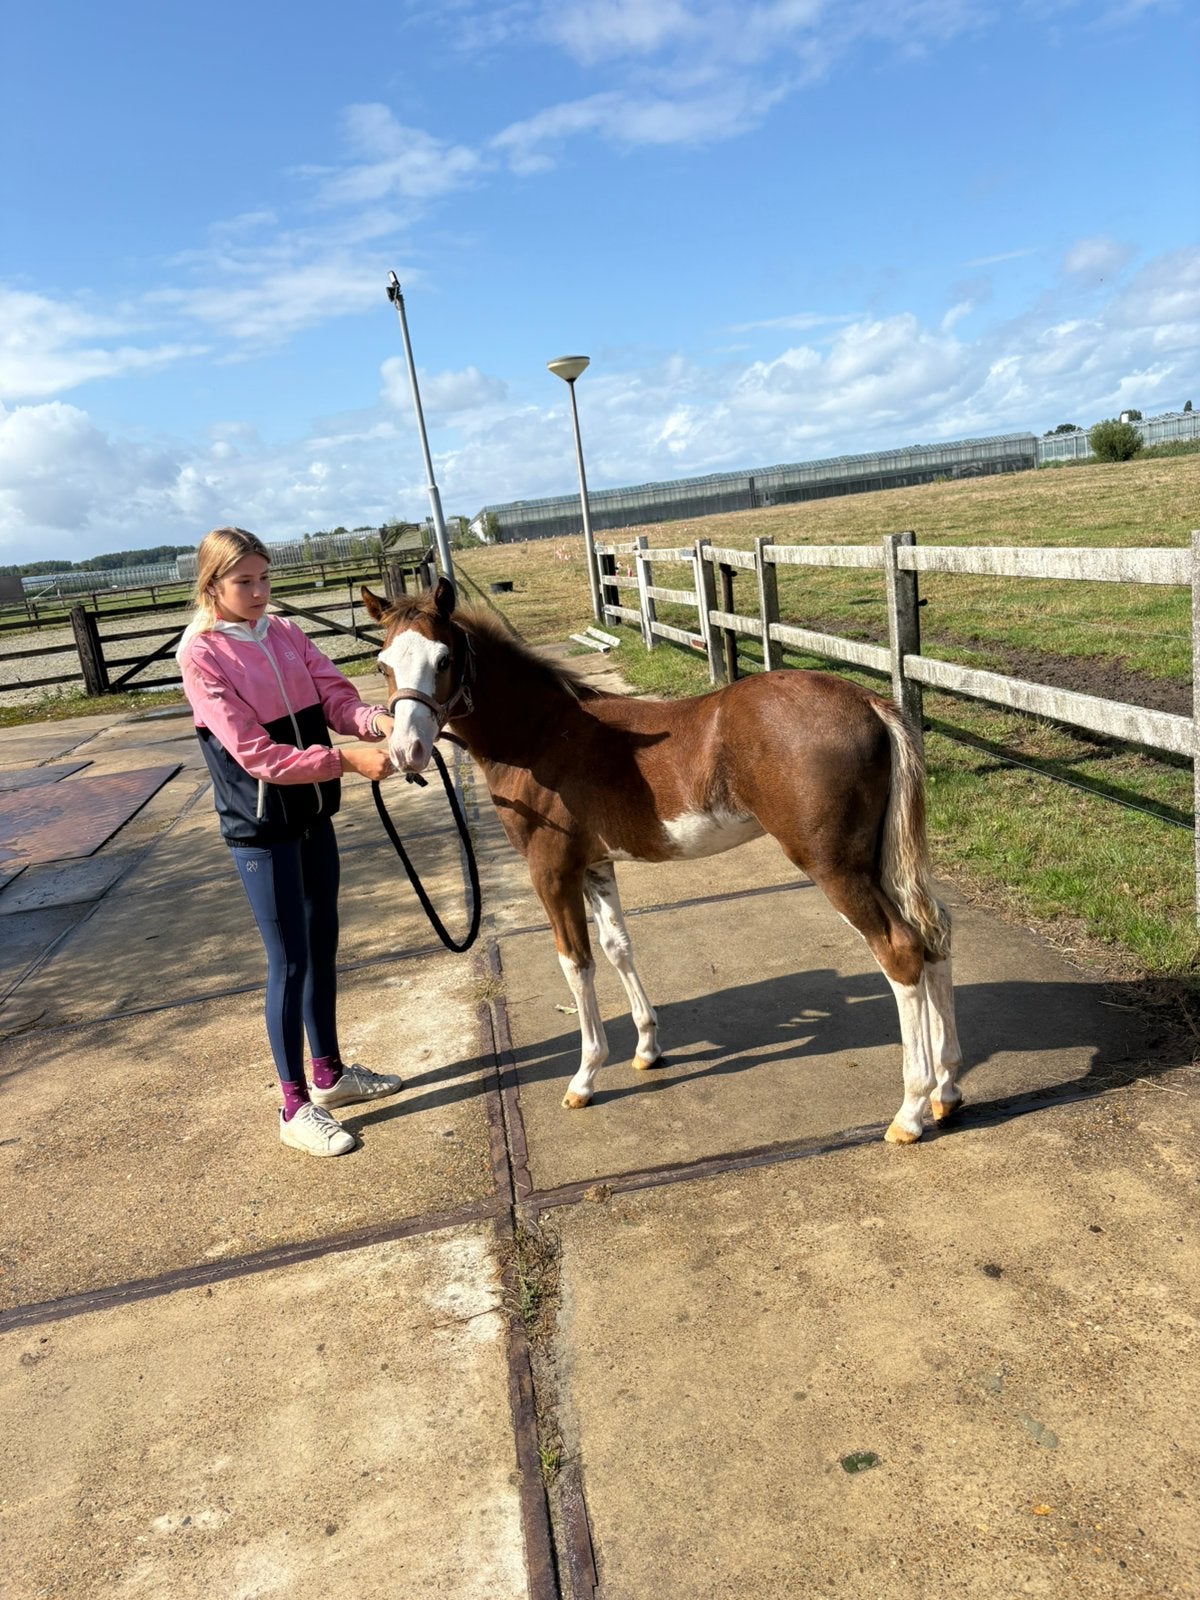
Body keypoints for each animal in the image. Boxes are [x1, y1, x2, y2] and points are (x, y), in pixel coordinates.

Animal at [362, 578, 962, 1143]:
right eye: (383, 663)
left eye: (444, 659)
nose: (407, 753)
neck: (540, 736)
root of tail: (869, 703)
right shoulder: (595, 866)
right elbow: (617, 947)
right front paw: (647, 1048)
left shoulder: (551, 871)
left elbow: (576, 963)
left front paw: (584, 1078)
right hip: (880, 858)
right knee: (934, 934)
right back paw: (947, 1089)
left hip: (835, 865)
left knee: (900, 948)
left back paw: (910, 1110)